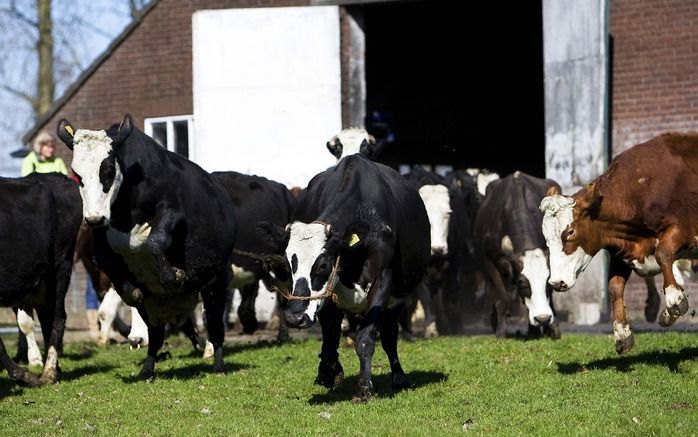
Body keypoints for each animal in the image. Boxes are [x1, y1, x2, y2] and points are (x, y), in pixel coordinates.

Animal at [57, 114, 237, 376]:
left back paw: (218, 364)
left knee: (215, 328)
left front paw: (173, 274)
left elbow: (154, 240)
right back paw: (147, 369)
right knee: (156, 335)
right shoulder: (102, 240)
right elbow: (110, 265)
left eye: (107, 169)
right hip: (154, 309)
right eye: (77, 174)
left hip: (215, 283)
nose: (93, 218)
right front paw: (131, 291)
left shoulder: (171, 210)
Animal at [260, 154, 426, 402]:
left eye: (323, 265)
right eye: (289, 265)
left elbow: (366, 337)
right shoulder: (328, 295)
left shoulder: (382, 280)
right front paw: (328, 373)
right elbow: (330, 336)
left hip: (396, 300)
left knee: (389, 336)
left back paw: (399, 377)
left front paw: (365, 387)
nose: (294, 318)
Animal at [470, 170, 556, 338]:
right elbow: (502, 298)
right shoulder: (489, 261)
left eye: (547, 279)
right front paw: (501, 333)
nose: (542, 318)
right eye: (522, 282)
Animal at [540, 131, 696, 352]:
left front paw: (675, 298)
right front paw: (622, 333)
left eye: (570, 232)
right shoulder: (623, 250)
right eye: (546, 237)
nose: (556, 282)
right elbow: (614, 286)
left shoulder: (683, 230)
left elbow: (663, 252)